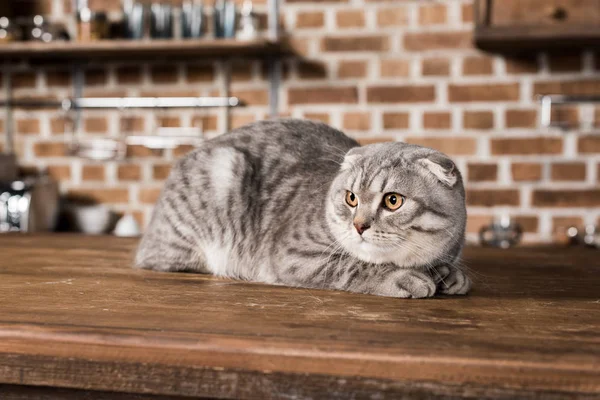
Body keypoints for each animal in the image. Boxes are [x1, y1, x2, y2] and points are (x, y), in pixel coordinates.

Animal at [135, 119, 468, 296]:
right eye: (351, 198)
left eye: (393, 200)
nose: (359, 225)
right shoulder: (296, 254)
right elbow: (354, 265)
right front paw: (403, 277)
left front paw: (449, 275)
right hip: (221, 173)